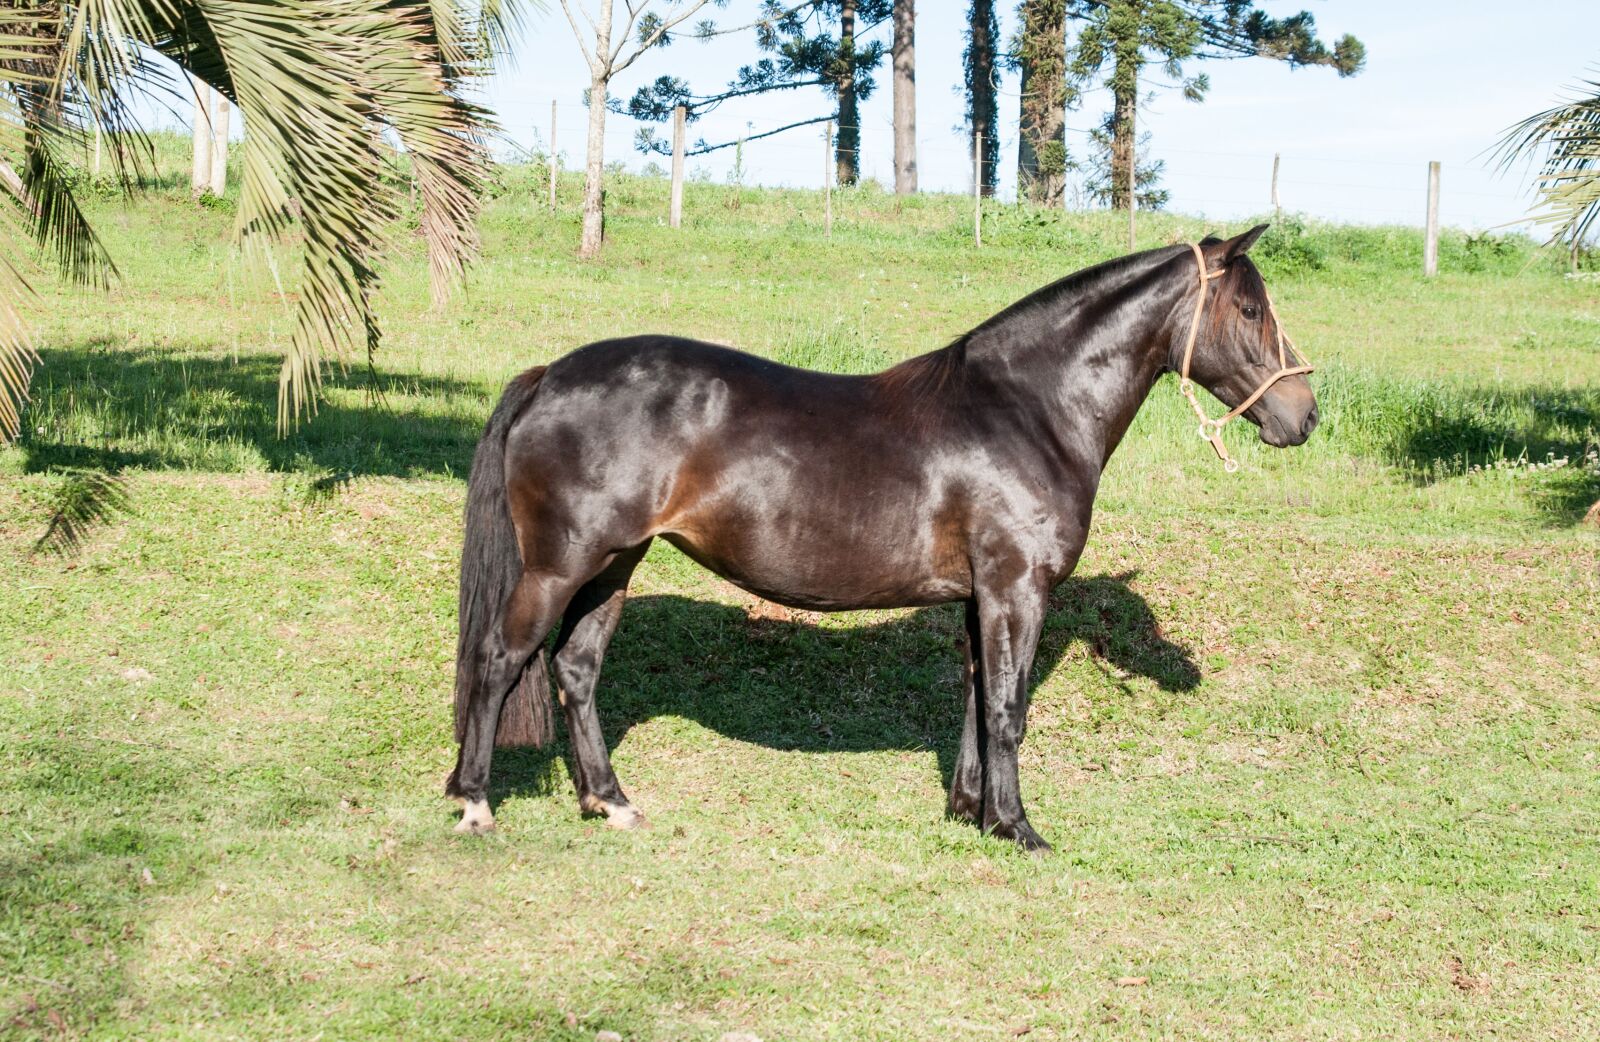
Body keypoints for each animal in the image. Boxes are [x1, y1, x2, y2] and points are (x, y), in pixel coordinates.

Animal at [445, 225, 1318, 851]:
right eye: (1249, 311)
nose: (1303, 415)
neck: (1024, 411)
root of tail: (550, 376)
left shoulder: (980, 597)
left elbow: (976, 696)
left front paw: (971, 812)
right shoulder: (1016, 589)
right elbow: (1008, 708)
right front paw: (1019, 828)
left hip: (614, 564)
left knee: (577, 669)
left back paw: (610, 802)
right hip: (560, 565)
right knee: (498, 660)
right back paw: (476, 802)